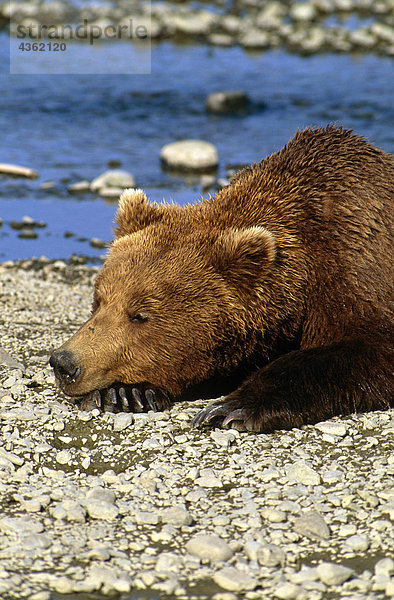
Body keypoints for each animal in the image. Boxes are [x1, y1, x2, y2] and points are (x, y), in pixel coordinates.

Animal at [50, 125, 394, 432]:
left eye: (139, 315)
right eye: (99, 300)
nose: (64, 363)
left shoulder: (355, 264)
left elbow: (368, 346)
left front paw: (231, 408)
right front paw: (124, 392)